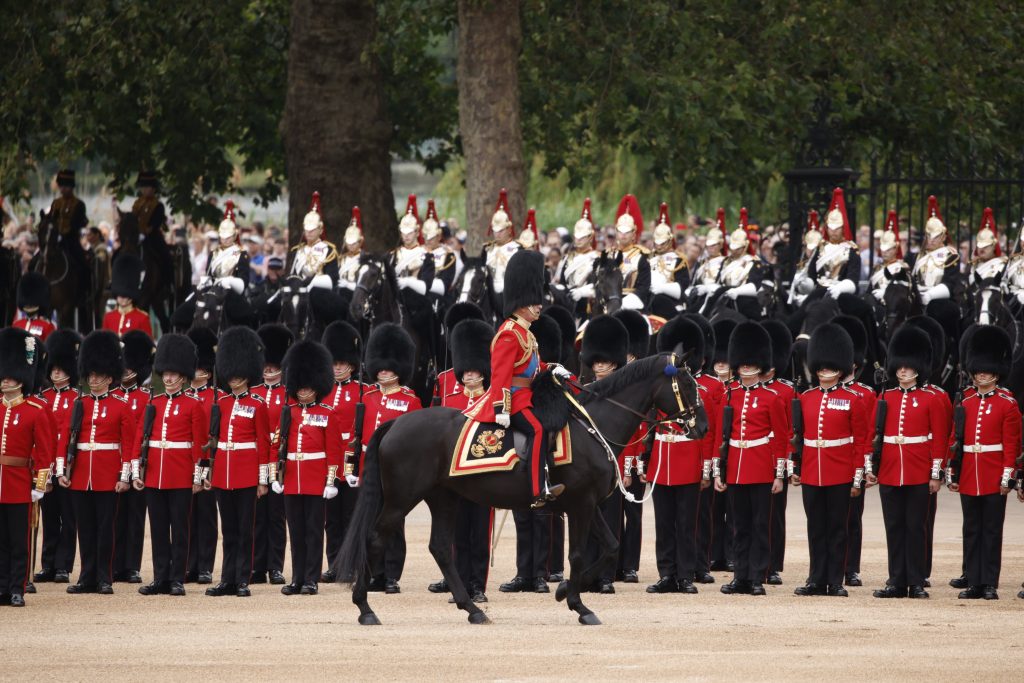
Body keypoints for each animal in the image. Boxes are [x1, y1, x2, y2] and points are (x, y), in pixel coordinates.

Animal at [331, 356, 708, 626]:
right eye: (688, 385)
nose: (703, 427)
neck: (595, 427)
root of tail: (395, 422)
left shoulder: (586, 504)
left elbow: (611, 546)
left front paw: (564, 591)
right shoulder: (581, 505)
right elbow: (578, 555)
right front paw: (578, 603)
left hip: (443, 497)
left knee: (439, 547)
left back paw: (473, 609)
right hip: (402, 498)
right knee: (375, 538)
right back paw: (365, 608)